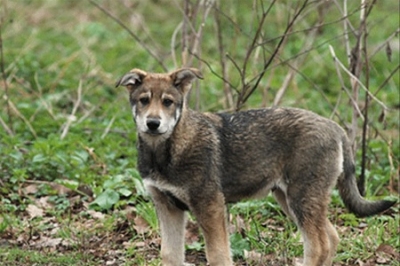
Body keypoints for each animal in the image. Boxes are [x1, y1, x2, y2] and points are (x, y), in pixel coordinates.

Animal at [115, 68, 394, 266]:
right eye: (143, 100)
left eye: (168, 102)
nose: (153, 123)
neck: (164, 152)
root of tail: (335, 127)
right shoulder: (167, 206)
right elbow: (170, 255)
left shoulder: (210, 205)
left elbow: (218, 255)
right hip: (291, 199)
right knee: (331, 237)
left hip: (301, 199)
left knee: (318, 246)